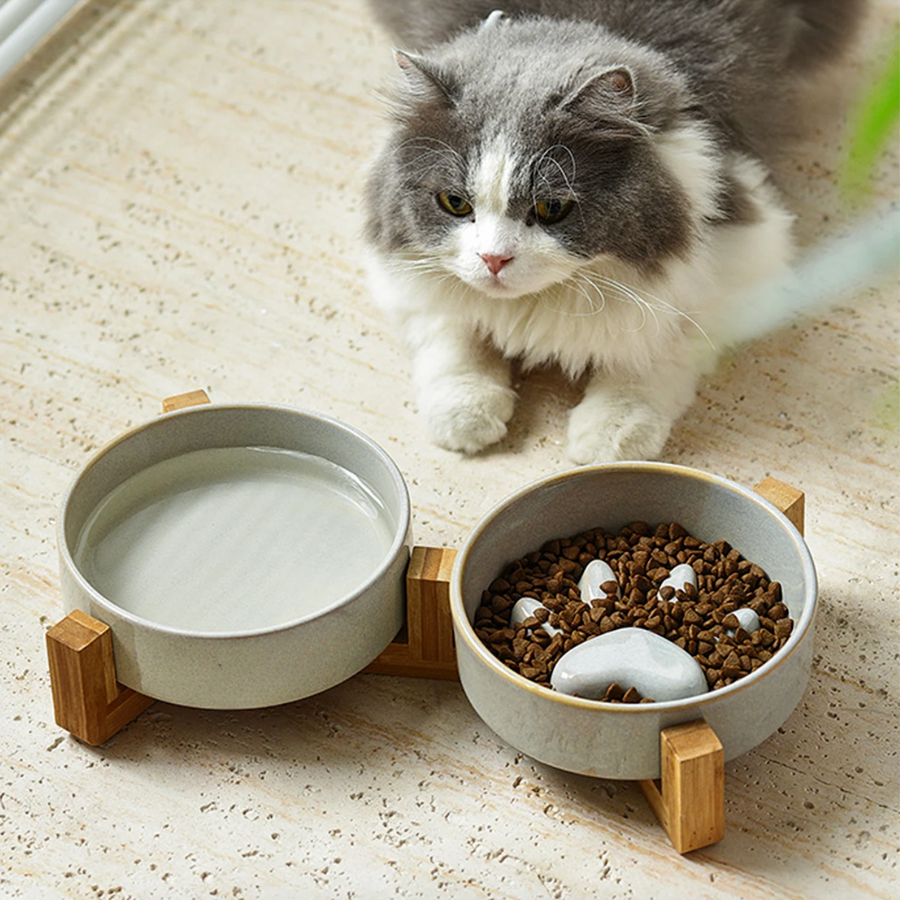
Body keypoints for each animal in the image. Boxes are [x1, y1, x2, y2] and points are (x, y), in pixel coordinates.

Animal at [360, 0, 864, 464]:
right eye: (455, 203)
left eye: (551, 208)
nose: (494, 260)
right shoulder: (408, 280)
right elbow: (453, 333)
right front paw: (466, 417)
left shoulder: (739, 258)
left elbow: (655, 352)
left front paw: (611, 437)